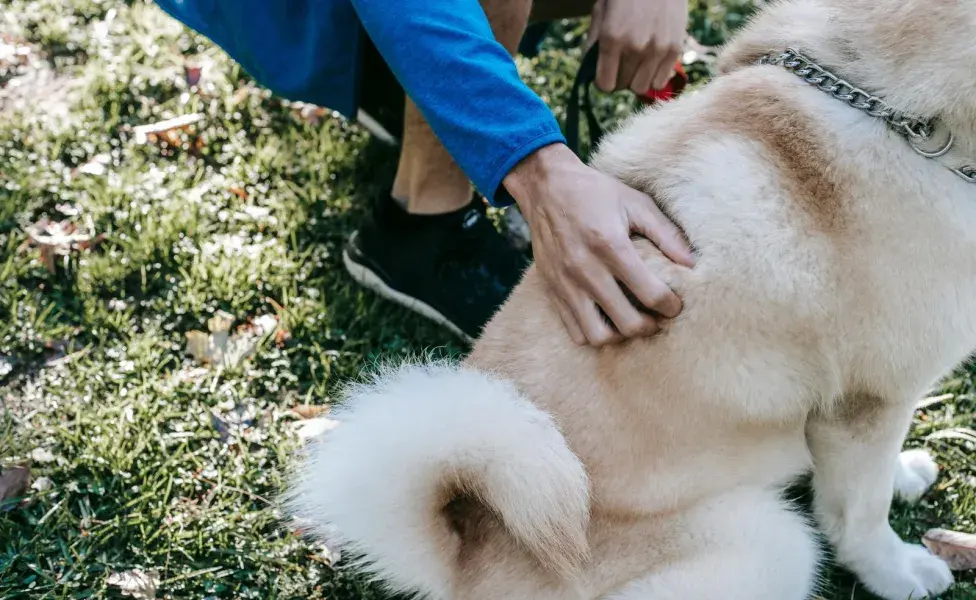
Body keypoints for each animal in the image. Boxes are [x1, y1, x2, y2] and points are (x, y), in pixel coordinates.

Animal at [286, 0, 972, 596]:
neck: (901, 119)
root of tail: (465, 560)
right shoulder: (867, 400)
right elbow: (860, 513)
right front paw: (898, 572)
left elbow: (877, 474)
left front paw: (905, 474)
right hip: (772, 540)